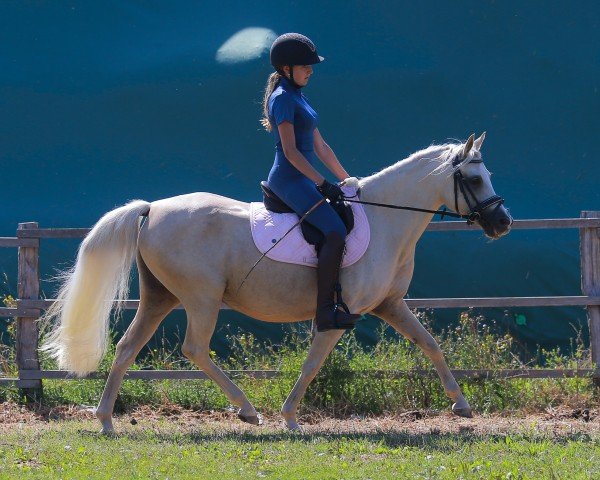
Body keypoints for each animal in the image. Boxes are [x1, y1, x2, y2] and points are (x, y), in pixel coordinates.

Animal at [41, 133, 510, 434]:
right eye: (473, 179)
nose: (502, 222)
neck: (384, 219)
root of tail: (152, 208)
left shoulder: (389, 305)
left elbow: (430, 344)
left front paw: (461, 404)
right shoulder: (339, 316)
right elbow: (312, 364)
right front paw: (289, 417)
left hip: (160, 297)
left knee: (126, 348)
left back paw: (106, 420)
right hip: (201, 298)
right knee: (195, 349)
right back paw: (248, 411)